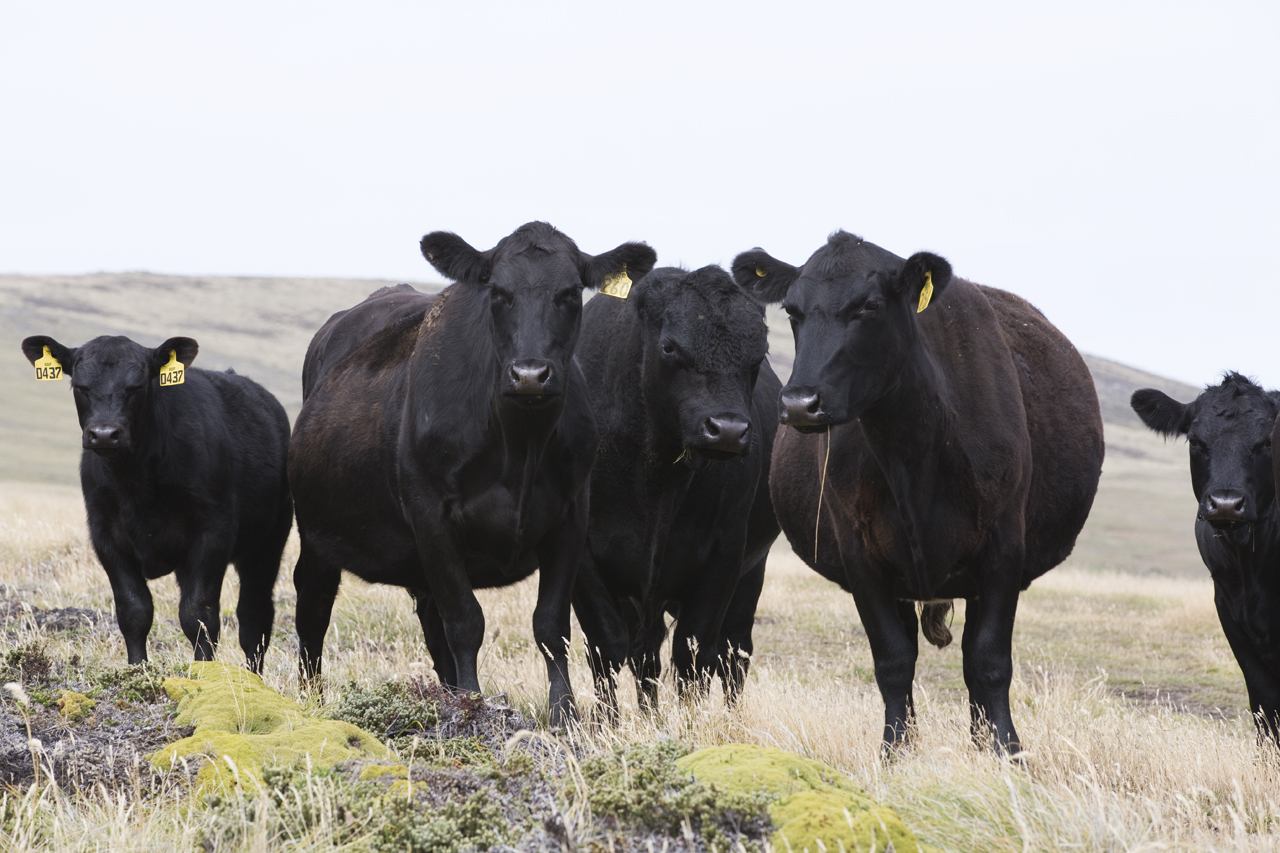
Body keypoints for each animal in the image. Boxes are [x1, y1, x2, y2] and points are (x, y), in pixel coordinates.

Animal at [20, 333, 291, 671]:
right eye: (80, 386)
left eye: (137, 386)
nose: (105, 434)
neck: (136, 483)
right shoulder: (106, 537)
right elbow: (135, 612)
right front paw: (137, 670)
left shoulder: (213, 533)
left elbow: (198, 615)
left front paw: (204, 673)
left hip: (268, 543)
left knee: (255, 616)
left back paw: (254, 676)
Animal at [286, 220, 655, 722]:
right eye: (498, 292)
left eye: (569, 293)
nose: (530, 374)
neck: (520, 446)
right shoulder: (431, 514)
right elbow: (465, 620)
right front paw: (472, 705)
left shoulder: (571, 516)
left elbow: (550, 625)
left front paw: (564, 714)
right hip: (316, 534)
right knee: (314, 610)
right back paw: (312, 699)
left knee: (429, 621)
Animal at [578, 263, 778, 712]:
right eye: (669, 348)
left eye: (758, 355)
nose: (728, 430)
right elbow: (607, 649)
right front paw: (606, 725)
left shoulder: (725, 555)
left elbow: (694, 653)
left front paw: (692, 724)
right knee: (646, 653)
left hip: (751, 571)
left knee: (734, 651)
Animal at [737, 230, 1105, 753]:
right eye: (792, 309)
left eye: (870, 306)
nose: (800, 403)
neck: (912, 452)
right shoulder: (860, 554)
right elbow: (893, 661)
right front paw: (895, 753)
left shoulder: (1003, 548)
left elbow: (989, 661)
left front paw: (1006, 752)